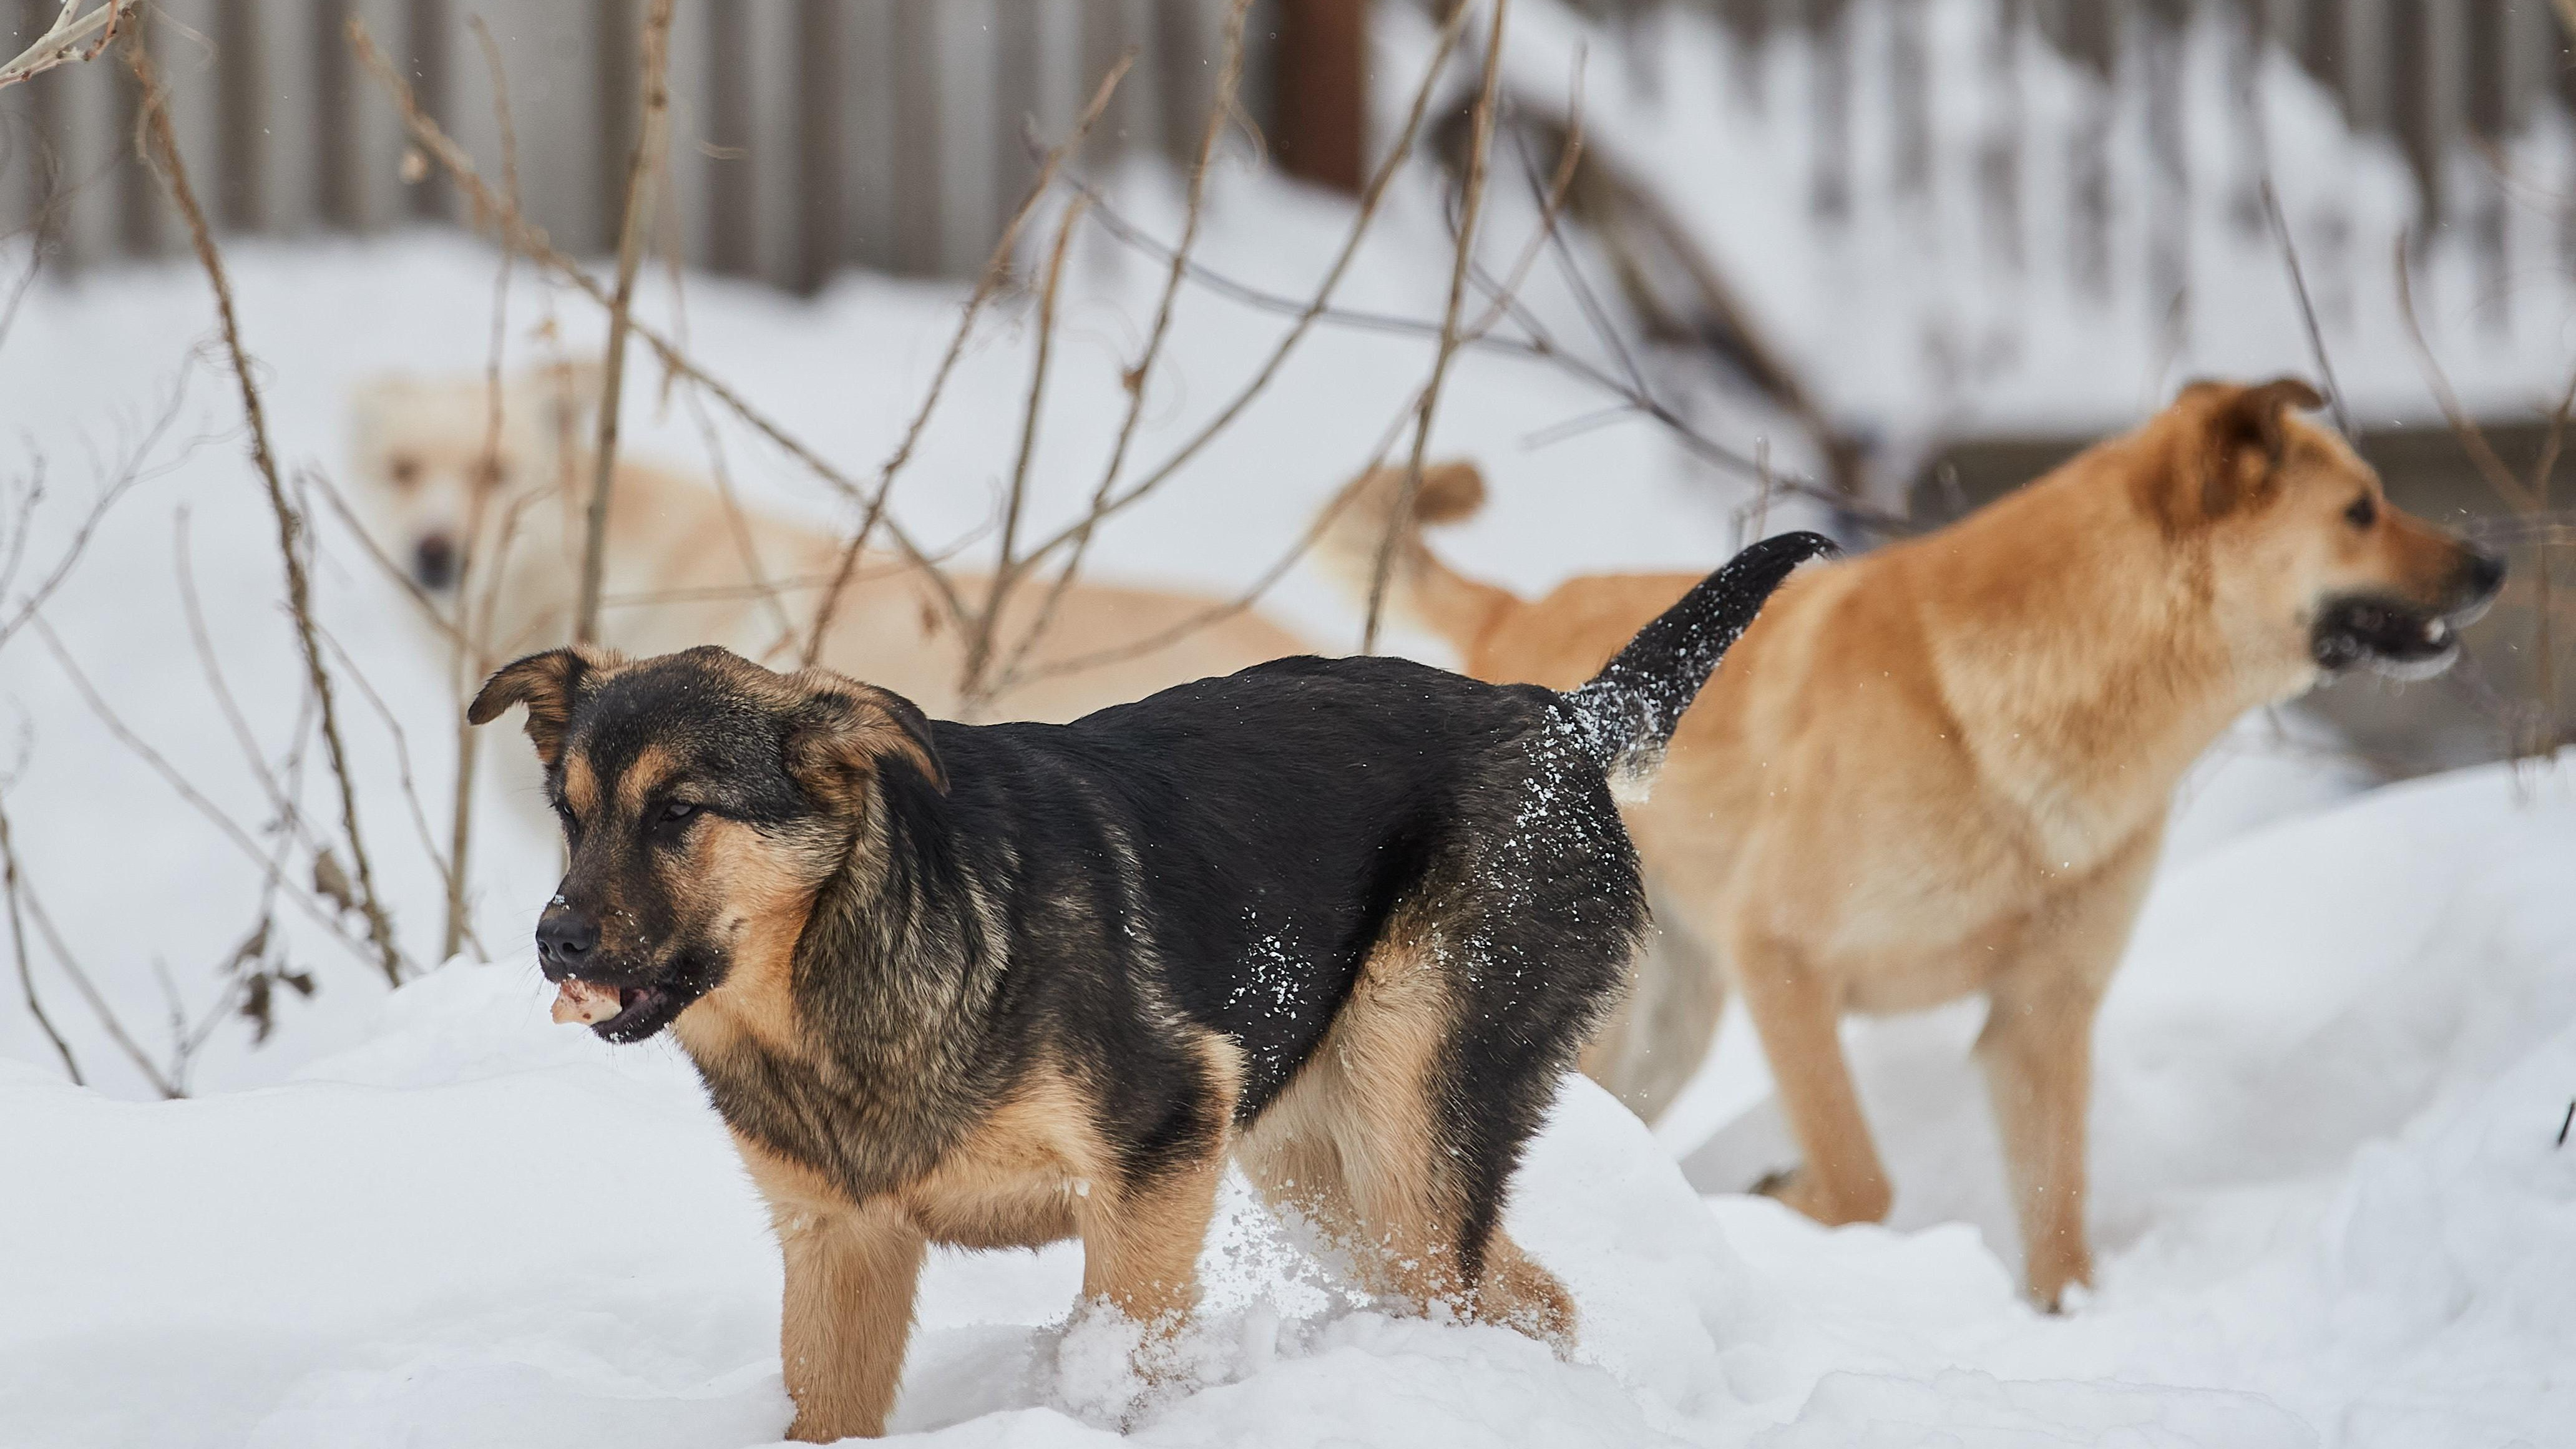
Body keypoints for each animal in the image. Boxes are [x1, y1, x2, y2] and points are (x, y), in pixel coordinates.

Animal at [469, 531, 1834, 1433]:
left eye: (679, 813)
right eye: (569, 813)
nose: (552, 940)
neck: (846, 969)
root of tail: (1559, 717)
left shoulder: (1158, 1156)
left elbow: (1123, 1350)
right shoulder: (842, 1249)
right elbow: (828, 1407)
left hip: (1404, 1119)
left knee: (1474, 1285)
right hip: (1319, 1166)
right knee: (1533, 1297)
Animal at [1319, 379, 2504, 1304]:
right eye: (2360, 510)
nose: (2494, 564)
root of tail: (1516, 626)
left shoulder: (2041, 1018)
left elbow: (2058, 1224)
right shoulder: (1786, 962)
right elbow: (1860, 1181)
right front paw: (1784, 1197)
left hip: (1661, 1029)